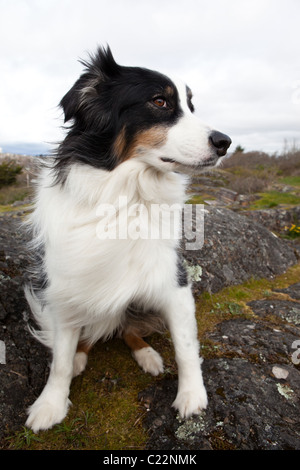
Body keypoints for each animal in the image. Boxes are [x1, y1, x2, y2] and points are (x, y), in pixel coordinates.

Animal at [24, 46, 231, 432]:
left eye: (192, 105)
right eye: (160, 101)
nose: (225, 142)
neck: (126, 195)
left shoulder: (173, 282)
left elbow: (185, 346)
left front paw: (192, 396)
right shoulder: (64, 285)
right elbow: (60, 359)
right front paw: (51, 403)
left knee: (128, 329)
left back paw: (148, 355)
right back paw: (82, 357)